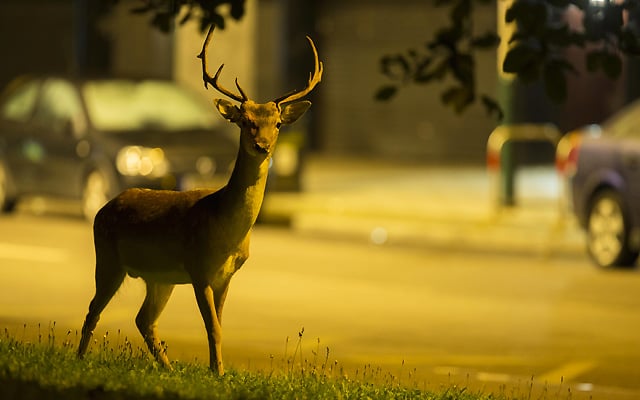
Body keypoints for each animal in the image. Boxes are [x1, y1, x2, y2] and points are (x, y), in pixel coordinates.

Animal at [77, 25, 322, 375]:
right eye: (245, 121)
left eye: (276, 123)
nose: (263, 146)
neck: (224, 228)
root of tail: (104, 207)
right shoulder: (199, 268)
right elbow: (213, 328)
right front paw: (218, 373)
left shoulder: (224, 277)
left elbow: (218, 325)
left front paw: (215, 371)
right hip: (108, 259)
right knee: (93, 310)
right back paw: (80, 359)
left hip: (158, 277)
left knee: (143, 320)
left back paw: (168, 369)